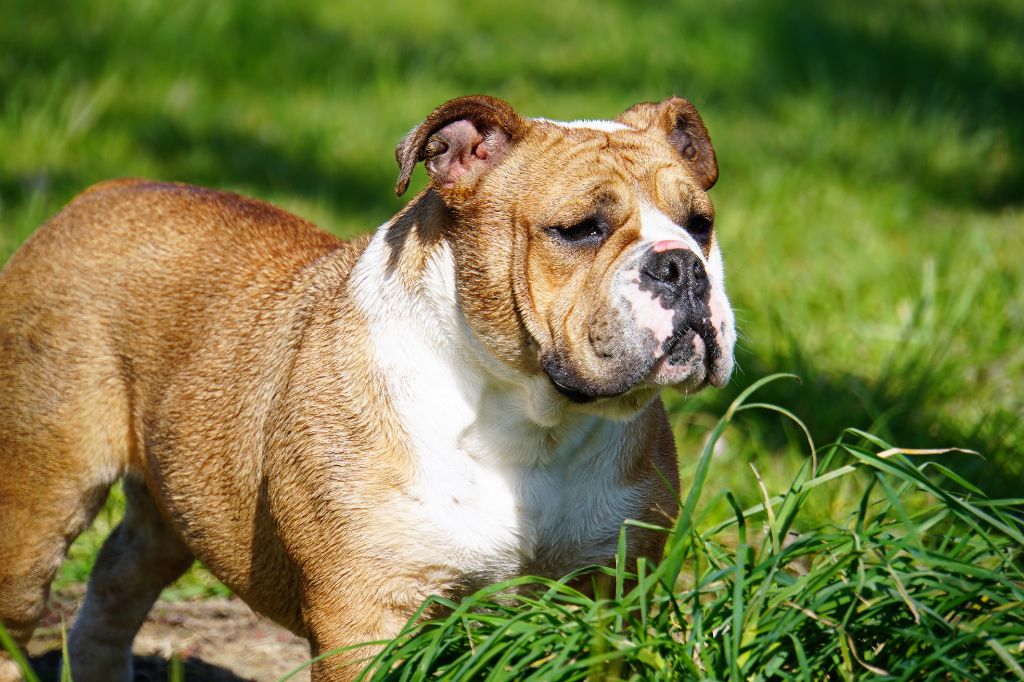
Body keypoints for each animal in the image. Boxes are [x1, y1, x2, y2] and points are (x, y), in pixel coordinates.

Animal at [2, 94, 737, 675]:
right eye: (581, 229)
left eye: (700, 223)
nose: (681, 266)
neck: (531, 422)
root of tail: (93, 197)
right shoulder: (367, 615)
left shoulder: (610, 596)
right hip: (38, 508)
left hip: (175, 497)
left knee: (121, 577)